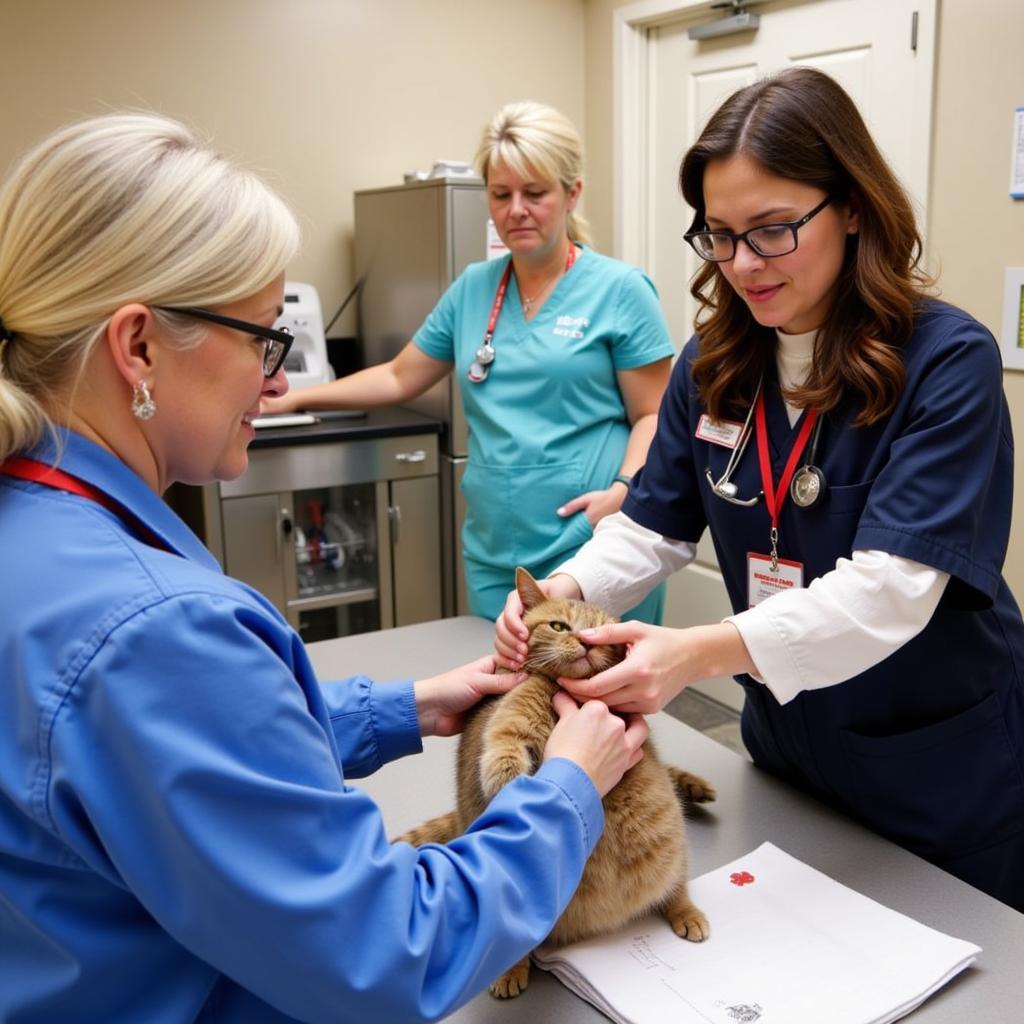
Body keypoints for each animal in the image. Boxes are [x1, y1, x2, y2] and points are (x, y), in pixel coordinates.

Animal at [395, 565, 716, 995]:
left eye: (598, 632)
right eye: (559, 625)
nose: (583, 642)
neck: (565, 695)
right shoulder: (512, 714)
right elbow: (503, 744)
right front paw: (511, 784)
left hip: (671, 842)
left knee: (676, 887)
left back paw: (688, 913)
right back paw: (510, 971)